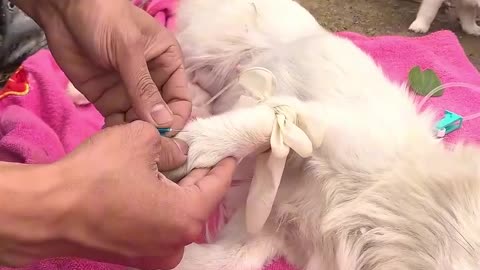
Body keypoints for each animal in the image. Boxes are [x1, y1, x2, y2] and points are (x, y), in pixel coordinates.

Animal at [164, 0, 480, 270]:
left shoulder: (271, 223)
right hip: (206, 45)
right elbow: (268, 125)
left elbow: (231, 258)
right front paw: (192, 147)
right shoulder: (322, 125)